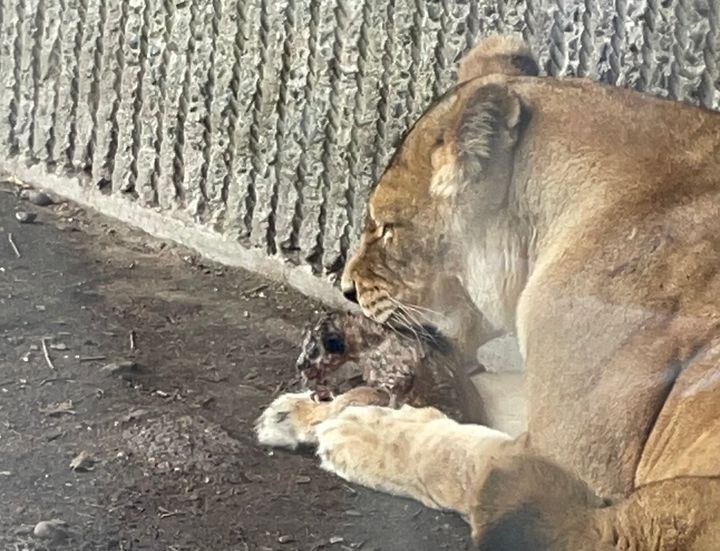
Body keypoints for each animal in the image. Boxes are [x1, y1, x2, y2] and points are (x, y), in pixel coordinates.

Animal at [338, 33, 720, 516]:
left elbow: (456, 454)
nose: (346, 290)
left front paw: (362, 428)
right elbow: (486, 393)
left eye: (388, 228)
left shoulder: (576, 466)